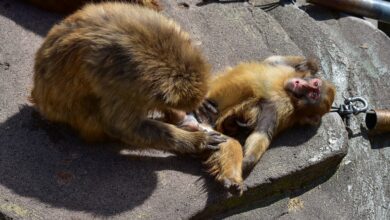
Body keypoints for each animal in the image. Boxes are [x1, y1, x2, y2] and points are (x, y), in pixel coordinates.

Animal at [195, 55, 336, 174]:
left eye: (313, 94)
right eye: (314, 84)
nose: (299, 84)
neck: (288, 94)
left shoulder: (278, 109)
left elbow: (262, 132)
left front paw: (247, 161)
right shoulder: (287, 73)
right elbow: (272, 60)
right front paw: (308, 65)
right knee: (249, 80)